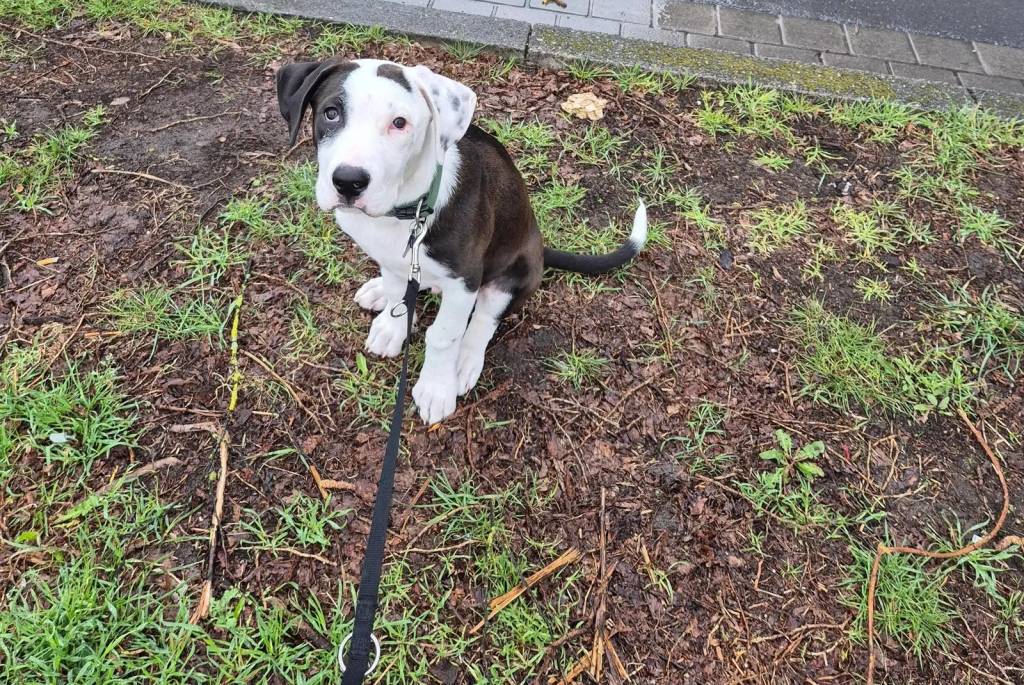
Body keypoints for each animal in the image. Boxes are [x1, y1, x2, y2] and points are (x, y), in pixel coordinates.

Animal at [276, 58, 647, 424]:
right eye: (331, 113)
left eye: (399, 123)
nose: (348, 182)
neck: (408, 210)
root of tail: (540, 247)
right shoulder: (392, 258)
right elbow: (398, 293)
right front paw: (393, 327)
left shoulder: (464, 279)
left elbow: (443, 336)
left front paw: (436, 388)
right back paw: (380, 292)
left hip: (511, 276)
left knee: (483, 322)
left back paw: (465, 363)